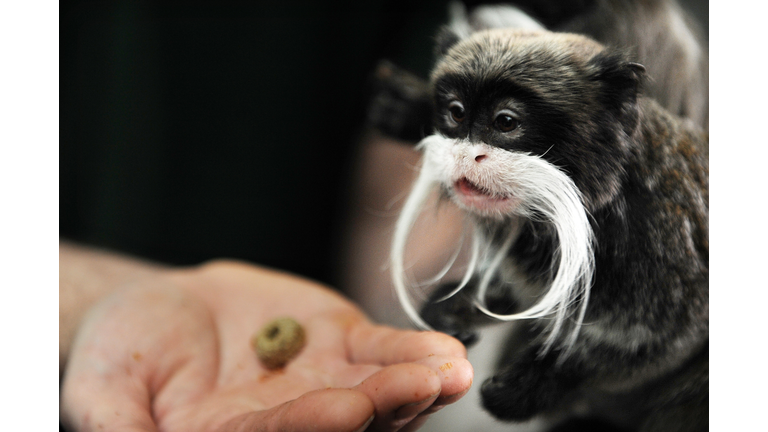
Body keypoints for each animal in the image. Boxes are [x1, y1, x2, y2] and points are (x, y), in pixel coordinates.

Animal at [390, 24, 708, 432]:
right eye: (456, 113)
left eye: (505, 122)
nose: (466, 155)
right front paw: (456, 307)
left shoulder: (662, 239)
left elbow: (663, 342)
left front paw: (537, 382)